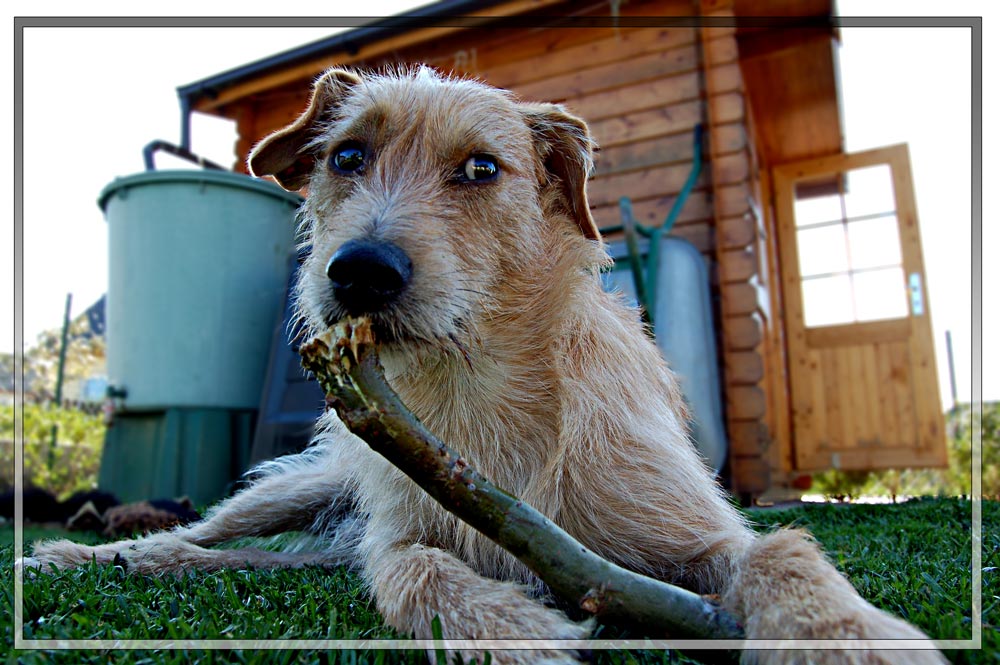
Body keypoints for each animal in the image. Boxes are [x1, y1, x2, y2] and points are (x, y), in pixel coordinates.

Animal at [23, 67, 944, 664]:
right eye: (346, 156)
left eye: (480, 168)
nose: (359, 272)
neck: (478, 384)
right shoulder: (403, 533)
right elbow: (415, 568)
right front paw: (516, 630)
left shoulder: (698, 530)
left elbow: (784, 548)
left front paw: (846, 637)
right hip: (300, 491)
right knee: (205, 536)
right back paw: (94, 555)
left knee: (275, 560)